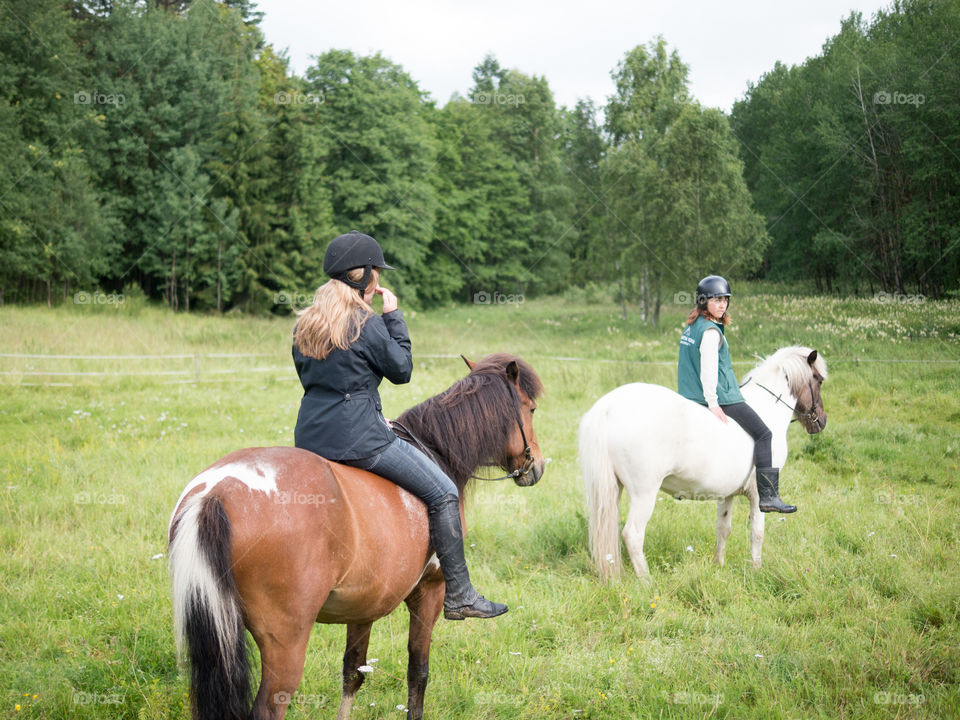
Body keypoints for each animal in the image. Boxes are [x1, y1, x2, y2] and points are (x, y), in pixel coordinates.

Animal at [169, 354, 544, 720]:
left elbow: (353, 672)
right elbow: (418, 673)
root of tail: (217, 493)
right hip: (285, 643)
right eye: (530, 409)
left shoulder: (364, 604)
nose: (537, 466)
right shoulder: (430, 592)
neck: (435, 452)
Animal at [576, 346, 824, 584]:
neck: (767, 408)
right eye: (819, 380)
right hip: (644, 493)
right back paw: (647, 582)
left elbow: (723, 529)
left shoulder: (727, 494)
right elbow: (757, 533)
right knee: (633, 534)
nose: (821, 421)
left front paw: (719, 565)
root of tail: (608, 407)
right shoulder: (758, 494)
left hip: (613, 489)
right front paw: (756, 571)